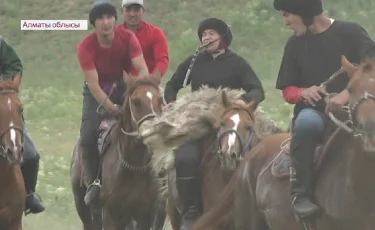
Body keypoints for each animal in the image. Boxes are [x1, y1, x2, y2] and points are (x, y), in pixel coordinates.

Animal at [70, 74, 164, 230]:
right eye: (136, 101)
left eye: (160, 99)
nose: (153, 132)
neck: (134, 166)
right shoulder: (111, 214)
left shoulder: (146, 216)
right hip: (81, 204)